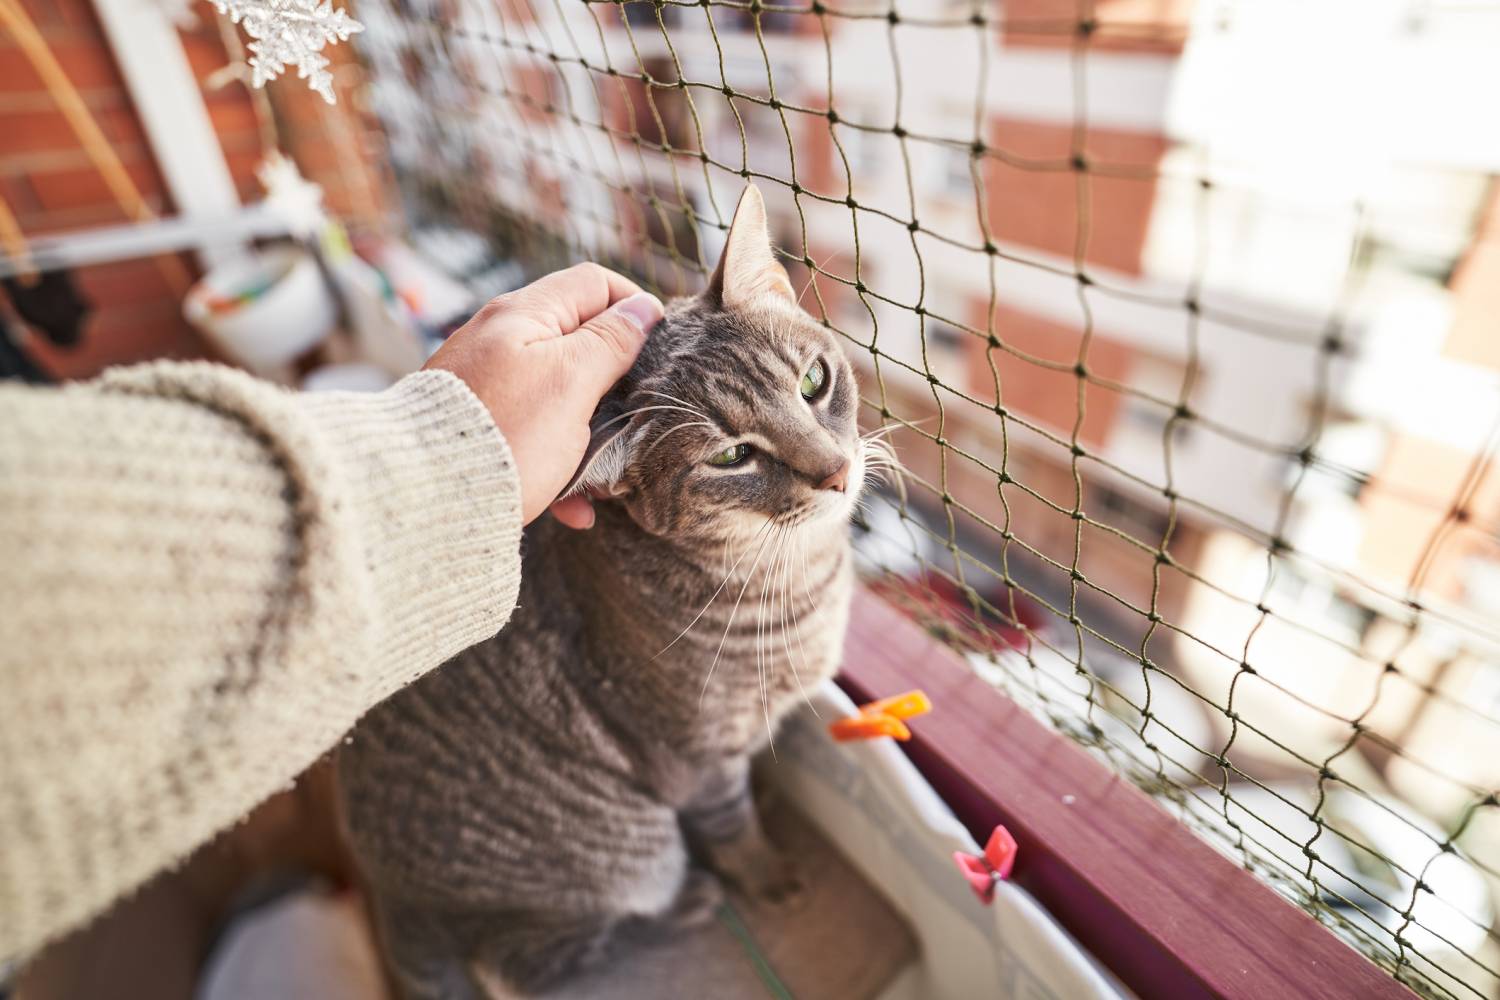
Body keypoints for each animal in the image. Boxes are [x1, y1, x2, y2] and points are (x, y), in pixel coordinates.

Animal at [340, 187, 876, 1000]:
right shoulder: (694, 757)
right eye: (732, 456)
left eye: (814, 382)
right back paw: (690, 899)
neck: (796, 578)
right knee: (518, 962)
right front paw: (763, 872)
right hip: (631, 847)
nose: (837, 473)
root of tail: (389, 896)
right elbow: (732, 825)